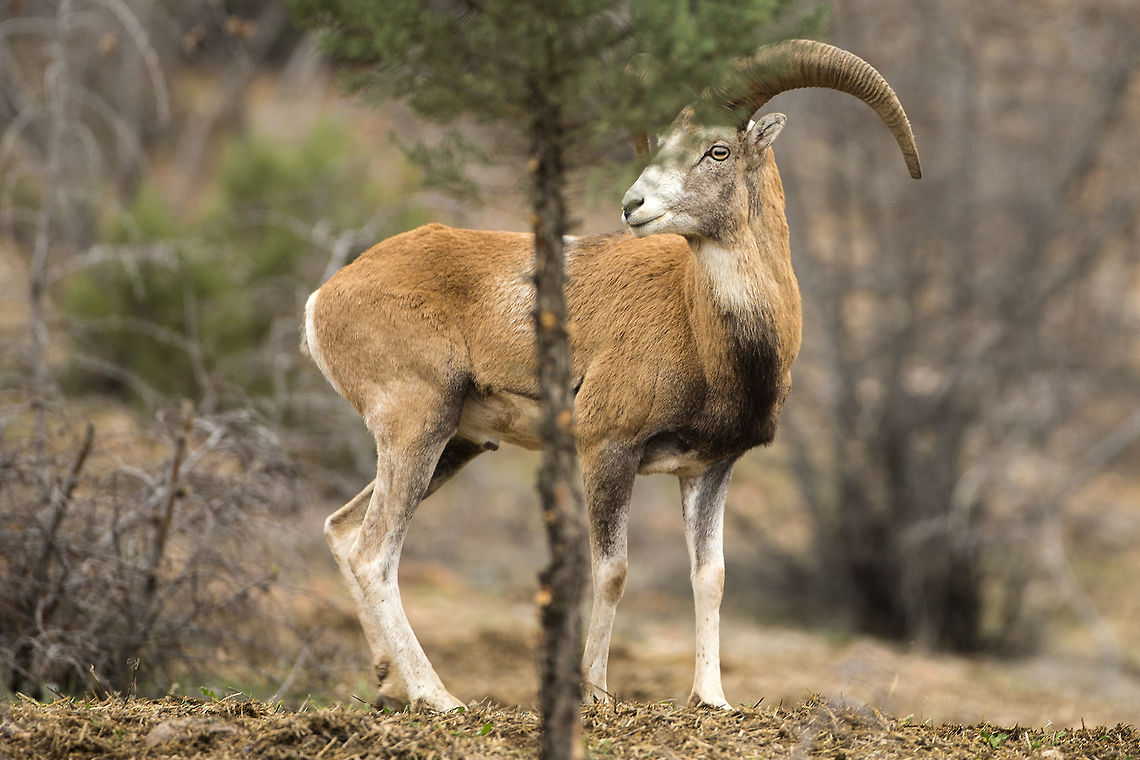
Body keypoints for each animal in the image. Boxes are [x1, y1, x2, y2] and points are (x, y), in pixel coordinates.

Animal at [302, 39, 921, 712]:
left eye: (718, 150)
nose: (633, 206)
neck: (701, 328)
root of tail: (325, 297)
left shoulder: (708, 471)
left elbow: (710, 576)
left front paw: (712, 698)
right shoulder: (608, 451)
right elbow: (612, 571)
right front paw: (595, 691)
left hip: (453, 445)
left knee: (343, 532)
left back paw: (390, 684)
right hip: (417, 427)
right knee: (375, 554)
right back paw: (439, 698)